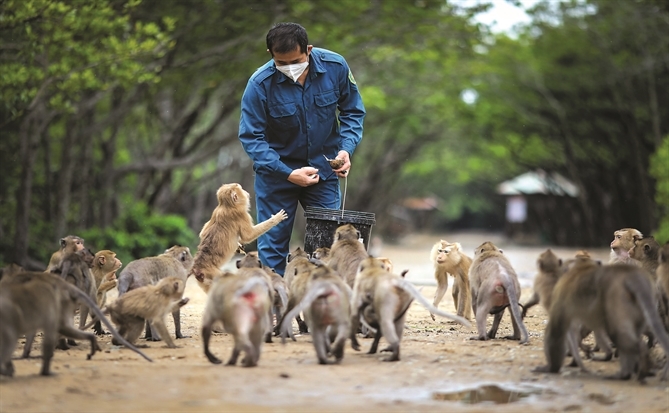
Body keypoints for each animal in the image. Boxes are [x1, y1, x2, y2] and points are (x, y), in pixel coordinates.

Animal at [532, 260, 668, 382]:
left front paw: (552, 368)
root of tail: (632, 275)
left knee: (616, 332)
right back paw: (626, 371)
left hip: (617, 299)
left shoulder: (562, 294)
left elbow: (557, 329)